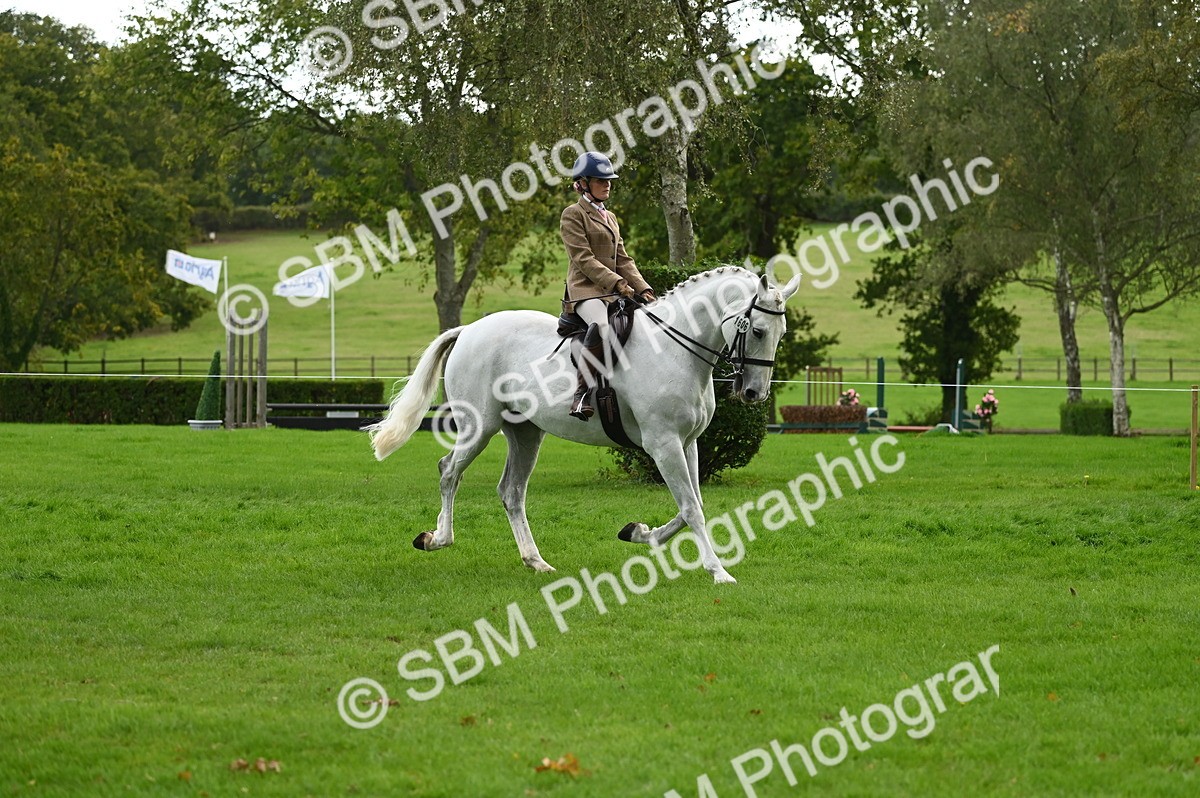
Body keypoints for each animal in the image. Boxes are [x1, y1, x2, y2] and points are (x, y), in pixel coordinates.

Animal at [366, 266, 801, 584]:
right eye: (757, 330)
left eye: (780, 334)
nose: (754, 393)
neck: (675, 349)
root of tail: (470, 329)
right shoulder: (663, 443)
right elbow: (692, 509)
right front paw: (718, 571)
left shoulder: (688, 442)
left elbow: (690, 506)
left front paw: (639, 533)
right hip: (479, 427)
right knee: (448, 472)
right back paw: (437, 539)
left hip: (525, 433)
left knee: (511, 491)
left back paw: (535, 561)